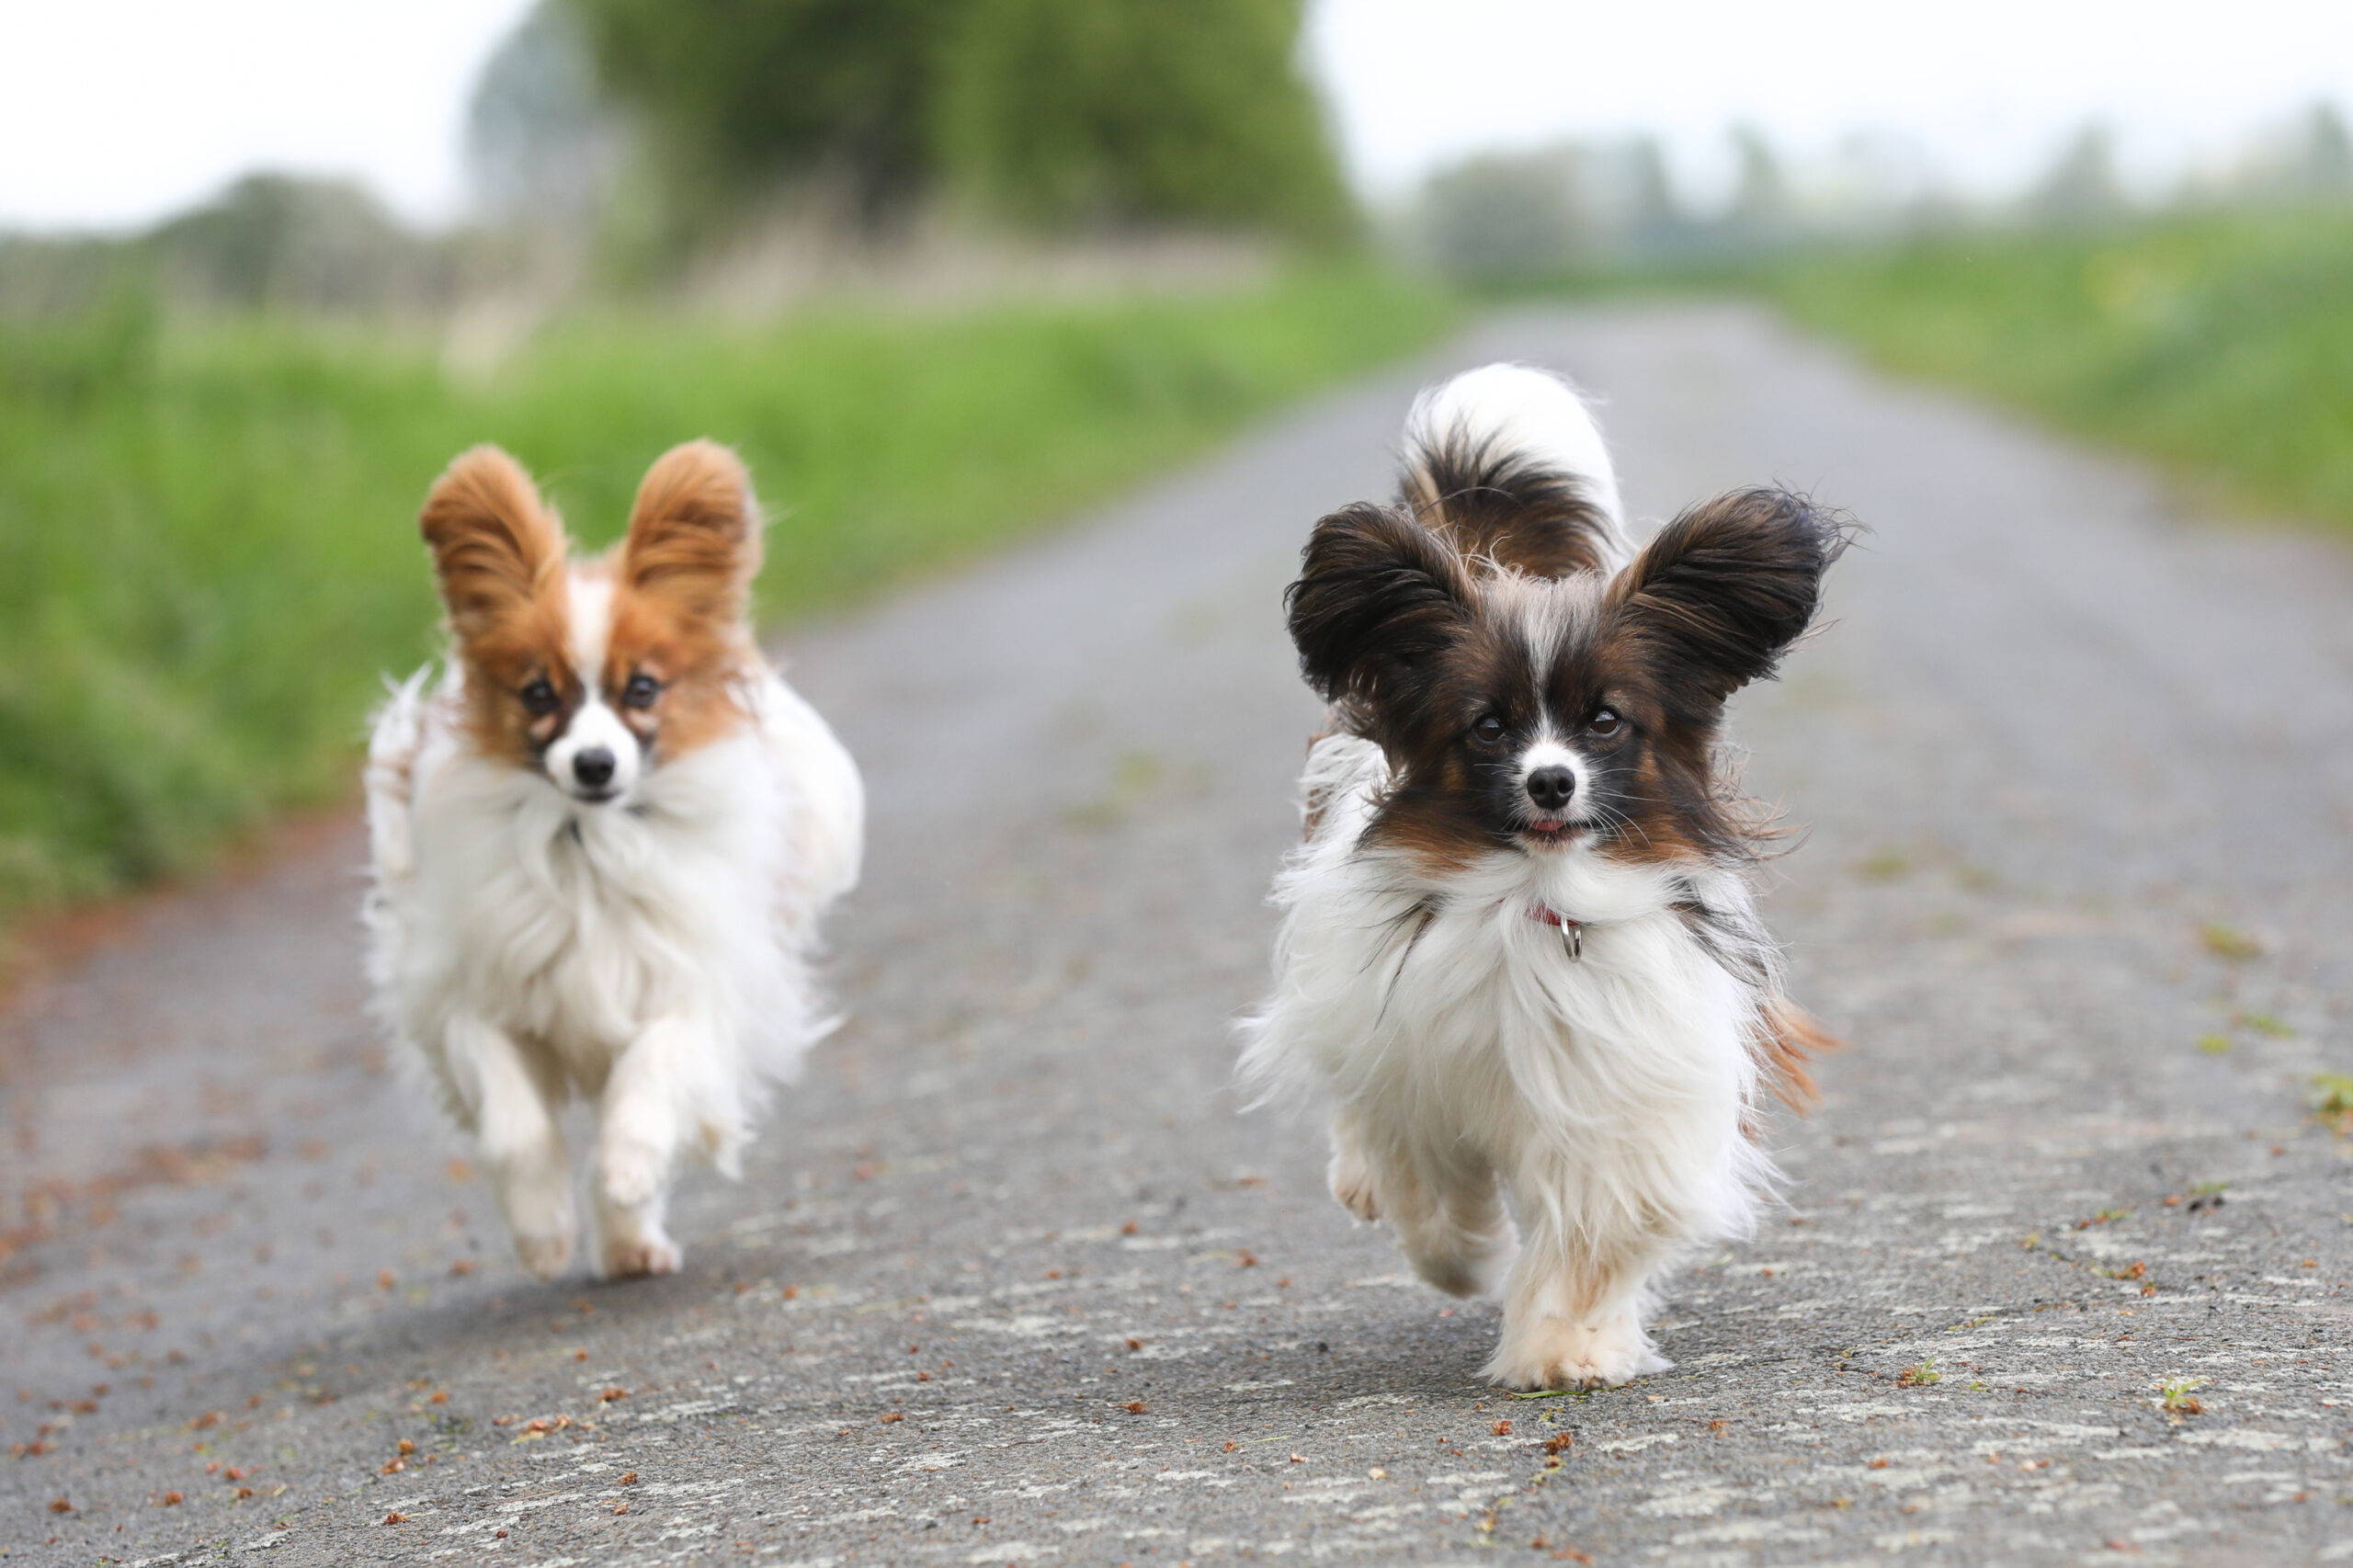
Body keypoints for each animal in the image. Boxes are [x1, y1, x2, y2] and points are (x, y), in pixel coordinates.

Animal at [358, 435, 856, 1271]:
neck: (588, 843)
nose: (594, 765)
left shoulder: (692, 982)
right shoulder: (470, 994)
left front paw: (625, 1174)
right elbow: (516, 1127)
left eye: (643, 688)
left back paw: (632, 1242)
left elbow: (652, 1071)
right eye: (538, 694)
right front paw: (542, 1230)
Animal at [1242, 362, 1845, 1384]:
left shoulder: (1620, 1093)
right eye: (1488, 727)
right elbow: (1429, 1193)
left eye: (1604, 721)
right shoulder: (1409, 1065)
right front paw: (1468, 1259)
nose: (1551, 781)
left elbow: (1594, 1231)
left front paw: (1565, 1347)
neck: (1536, 895)